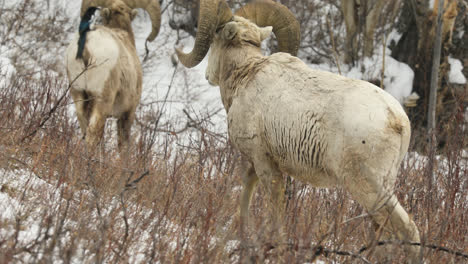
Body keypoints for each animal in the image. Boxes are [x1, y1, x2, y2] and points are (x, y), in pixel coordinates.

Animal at [177, 0, 422, 262]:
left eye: (214, 38)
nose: (207, 76)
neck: (246, 74)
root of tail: (397, 120)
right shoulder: (256, 163)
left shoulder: (265, 164)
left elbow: (276, 210)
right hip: (382, 186)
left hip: (368, 187)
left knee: (407, 229)